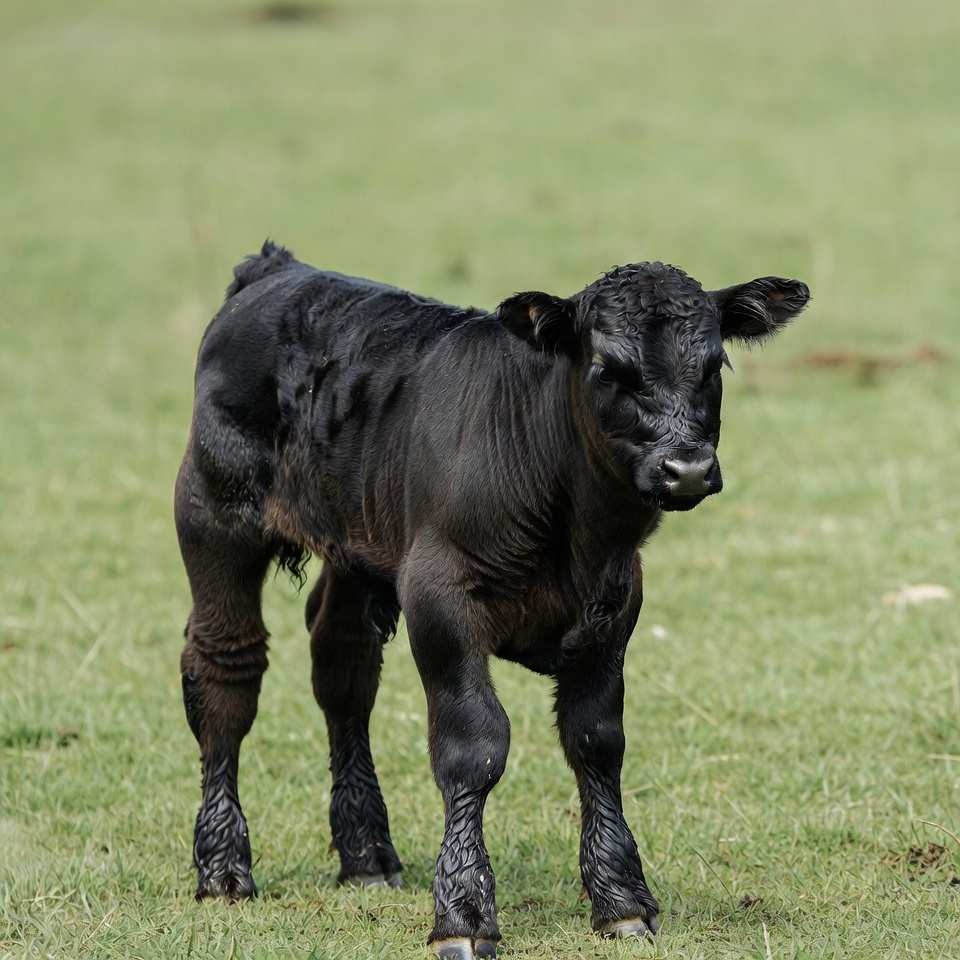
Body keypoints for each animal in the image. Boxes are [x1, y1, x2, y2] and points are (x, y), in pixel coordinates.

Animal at [174, 241, 809, 958]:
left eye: (713, 364)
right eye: (605, 367)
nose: (688, 469)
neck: (578, 533)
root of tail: (279, 269)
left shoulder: (616, 606)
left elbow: (596, 739)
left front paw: (622, 900)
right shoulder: (438, 595)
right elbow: (472, 745)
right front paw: (463, 913)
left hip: (356, 546)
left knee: (343, 672)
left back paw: (366, 856)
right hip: (214, 517)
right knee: (225, 674)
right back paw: (223, 868)